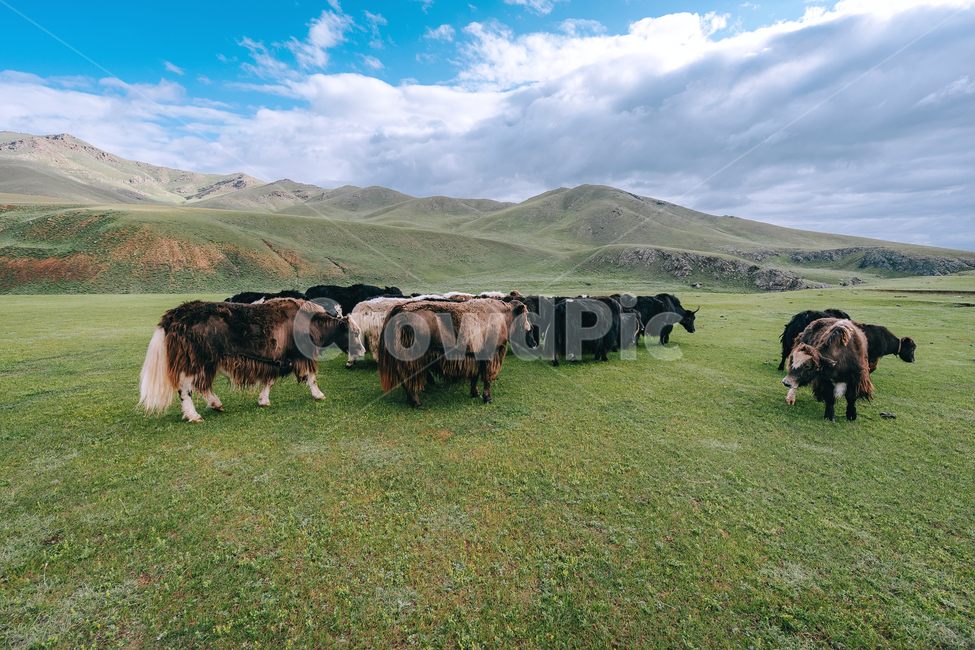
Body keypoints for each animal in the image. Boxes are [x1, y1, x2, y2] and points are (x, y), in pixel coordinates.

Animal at [139, 298, 364, 422]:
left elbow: (269, 380)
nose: (361, 351)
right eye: (354, 333)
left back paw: (216, 404)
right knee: (186, 388)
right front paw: (319, 395)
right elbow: (310, 377)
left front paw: (263, 400)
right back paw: (194, 416)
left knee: (202, 385)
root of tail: (173, 315)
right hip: (194, 360)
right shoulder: (297, 356)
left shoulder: (277, 360)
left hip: (208, 362)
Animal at [377, 298, 530, 408]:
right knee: (408, 380)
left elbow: (475, 376)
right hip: (412, 360)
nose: (529, 328)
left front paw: (476, 394)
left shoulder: (475, 356)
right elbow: (487, 378)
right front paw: (488, 398)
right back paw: (417, 403)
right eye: (524, 314)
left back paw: (411, 401)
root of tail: (399, 309)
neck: (502, 316)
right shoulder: (491, 355)